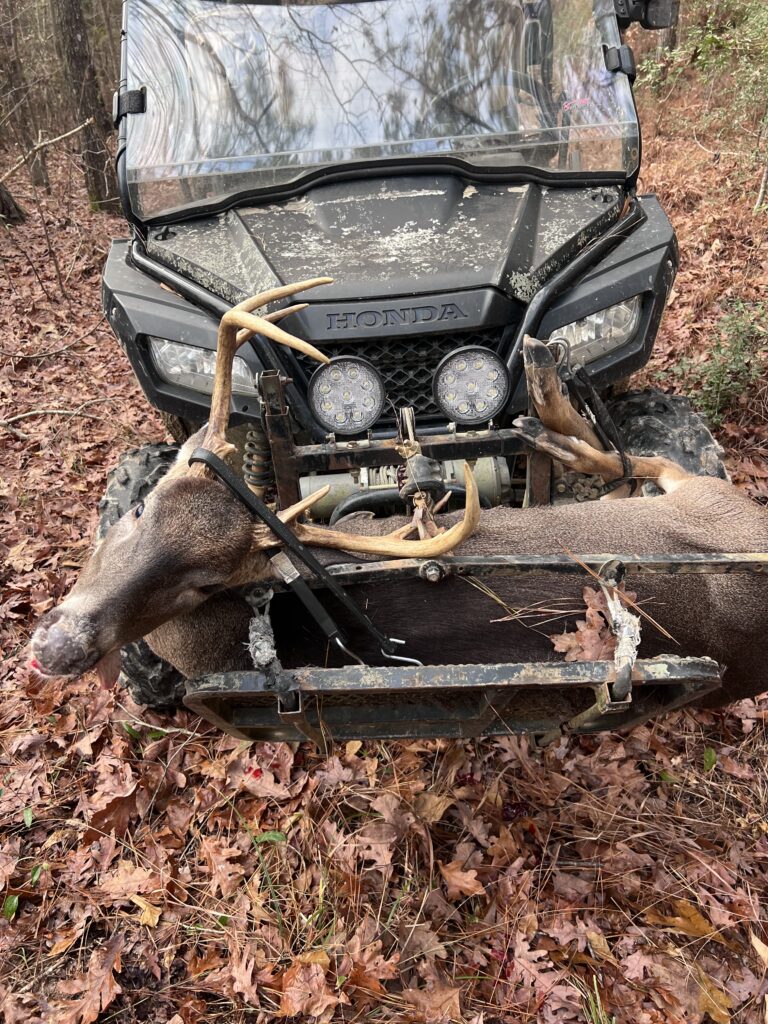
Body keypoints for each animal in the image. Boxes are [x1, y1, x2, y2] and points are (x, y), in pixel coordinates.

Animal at [30, 279, 768, 712]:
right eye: (135, 510)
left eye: (205, 582)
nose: (56, 646)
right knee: (624, 474)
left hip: (705, 494)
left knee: (641, 457)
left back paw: (548, 408)